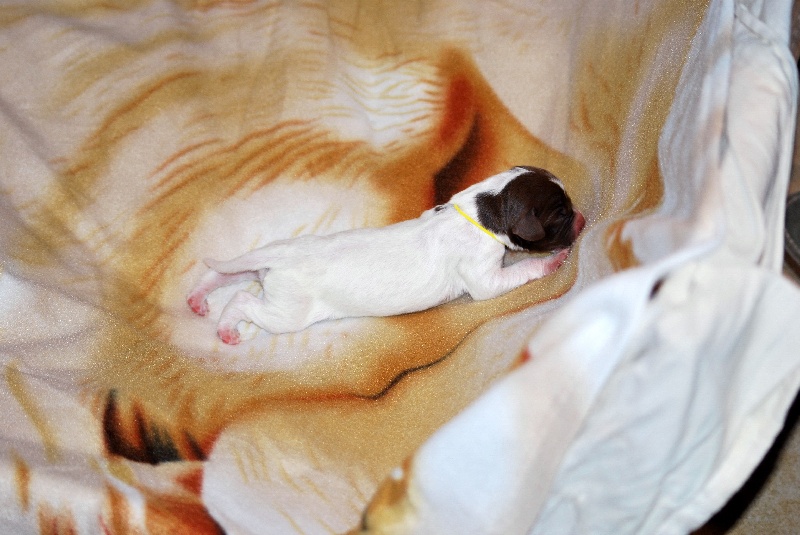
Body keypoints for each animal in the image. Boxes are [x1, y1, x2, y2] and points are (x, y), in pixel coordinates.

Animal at [187, 166, 585, 344]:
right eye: (561, 214)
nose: (583, 219)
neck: (481, 210)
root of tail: (279, 257)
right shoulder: (484, 277)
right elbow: (517, 272)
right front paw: (552, 261)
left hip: (261, 267)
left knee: (222, 274)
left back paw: (197, 298)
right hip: (287, 312)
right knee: (241, 300)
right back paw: (226, 328)